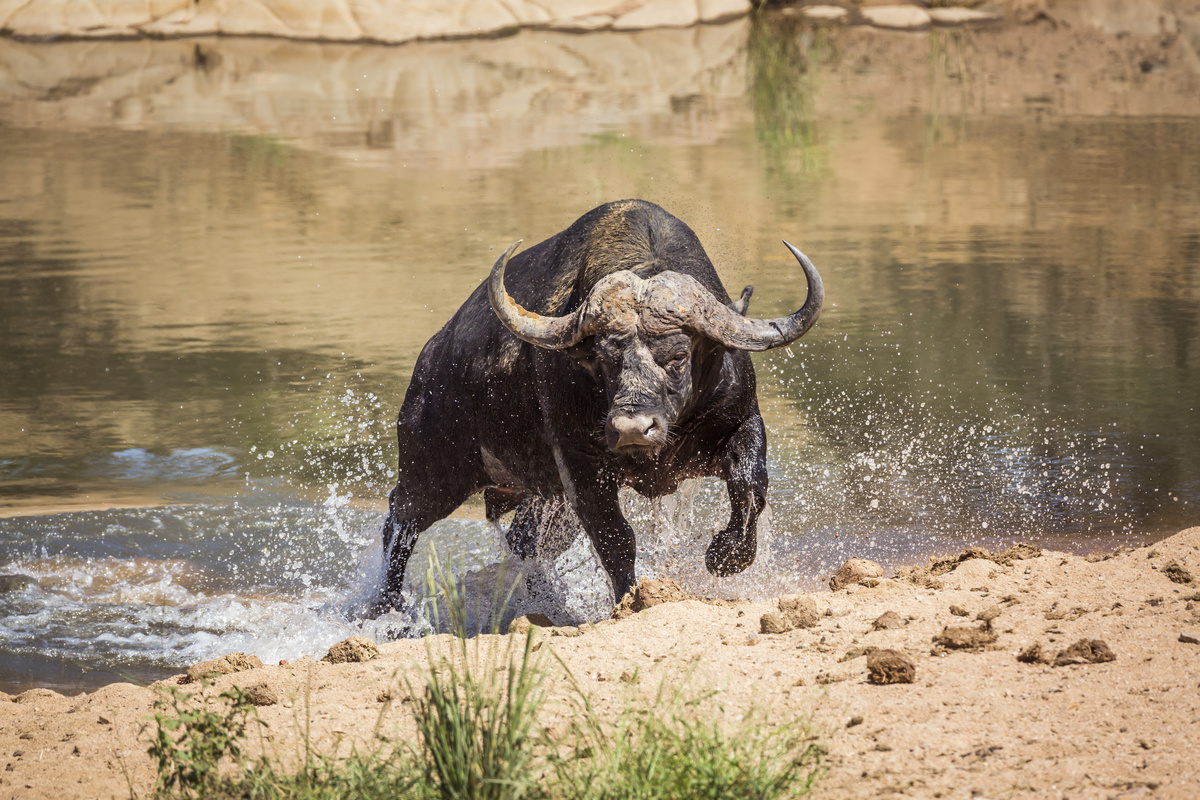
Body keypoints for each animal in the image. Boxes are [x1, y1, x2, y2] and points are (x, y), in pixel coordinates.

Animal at [379, 200, 820, 614]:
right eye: (605, 359)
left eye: (678, 356)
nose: (632, 429)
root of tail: (431, 359)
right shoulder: (580, 466)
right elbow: (615, 538)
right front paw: (631, 599)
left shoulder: (740, 421)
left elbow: (750, 486)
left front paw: (726, 556)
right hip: (434, 472)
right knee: (400, 522)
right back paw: (385, 608)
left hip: (541, 498)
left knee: (525, 543)